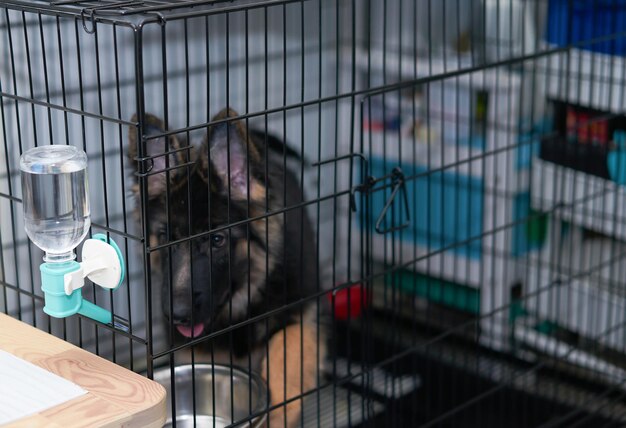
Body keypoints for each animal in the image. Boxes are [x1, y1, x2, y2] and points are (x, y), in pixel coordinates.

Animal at [127, 108, 322, 426]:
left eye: (217, 240)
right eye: (166, 238)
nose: (177, 315)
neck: (243, 300)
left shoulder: (303, 308)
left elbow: (286, 353)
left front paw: (279, 412)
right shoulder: (194, 346)